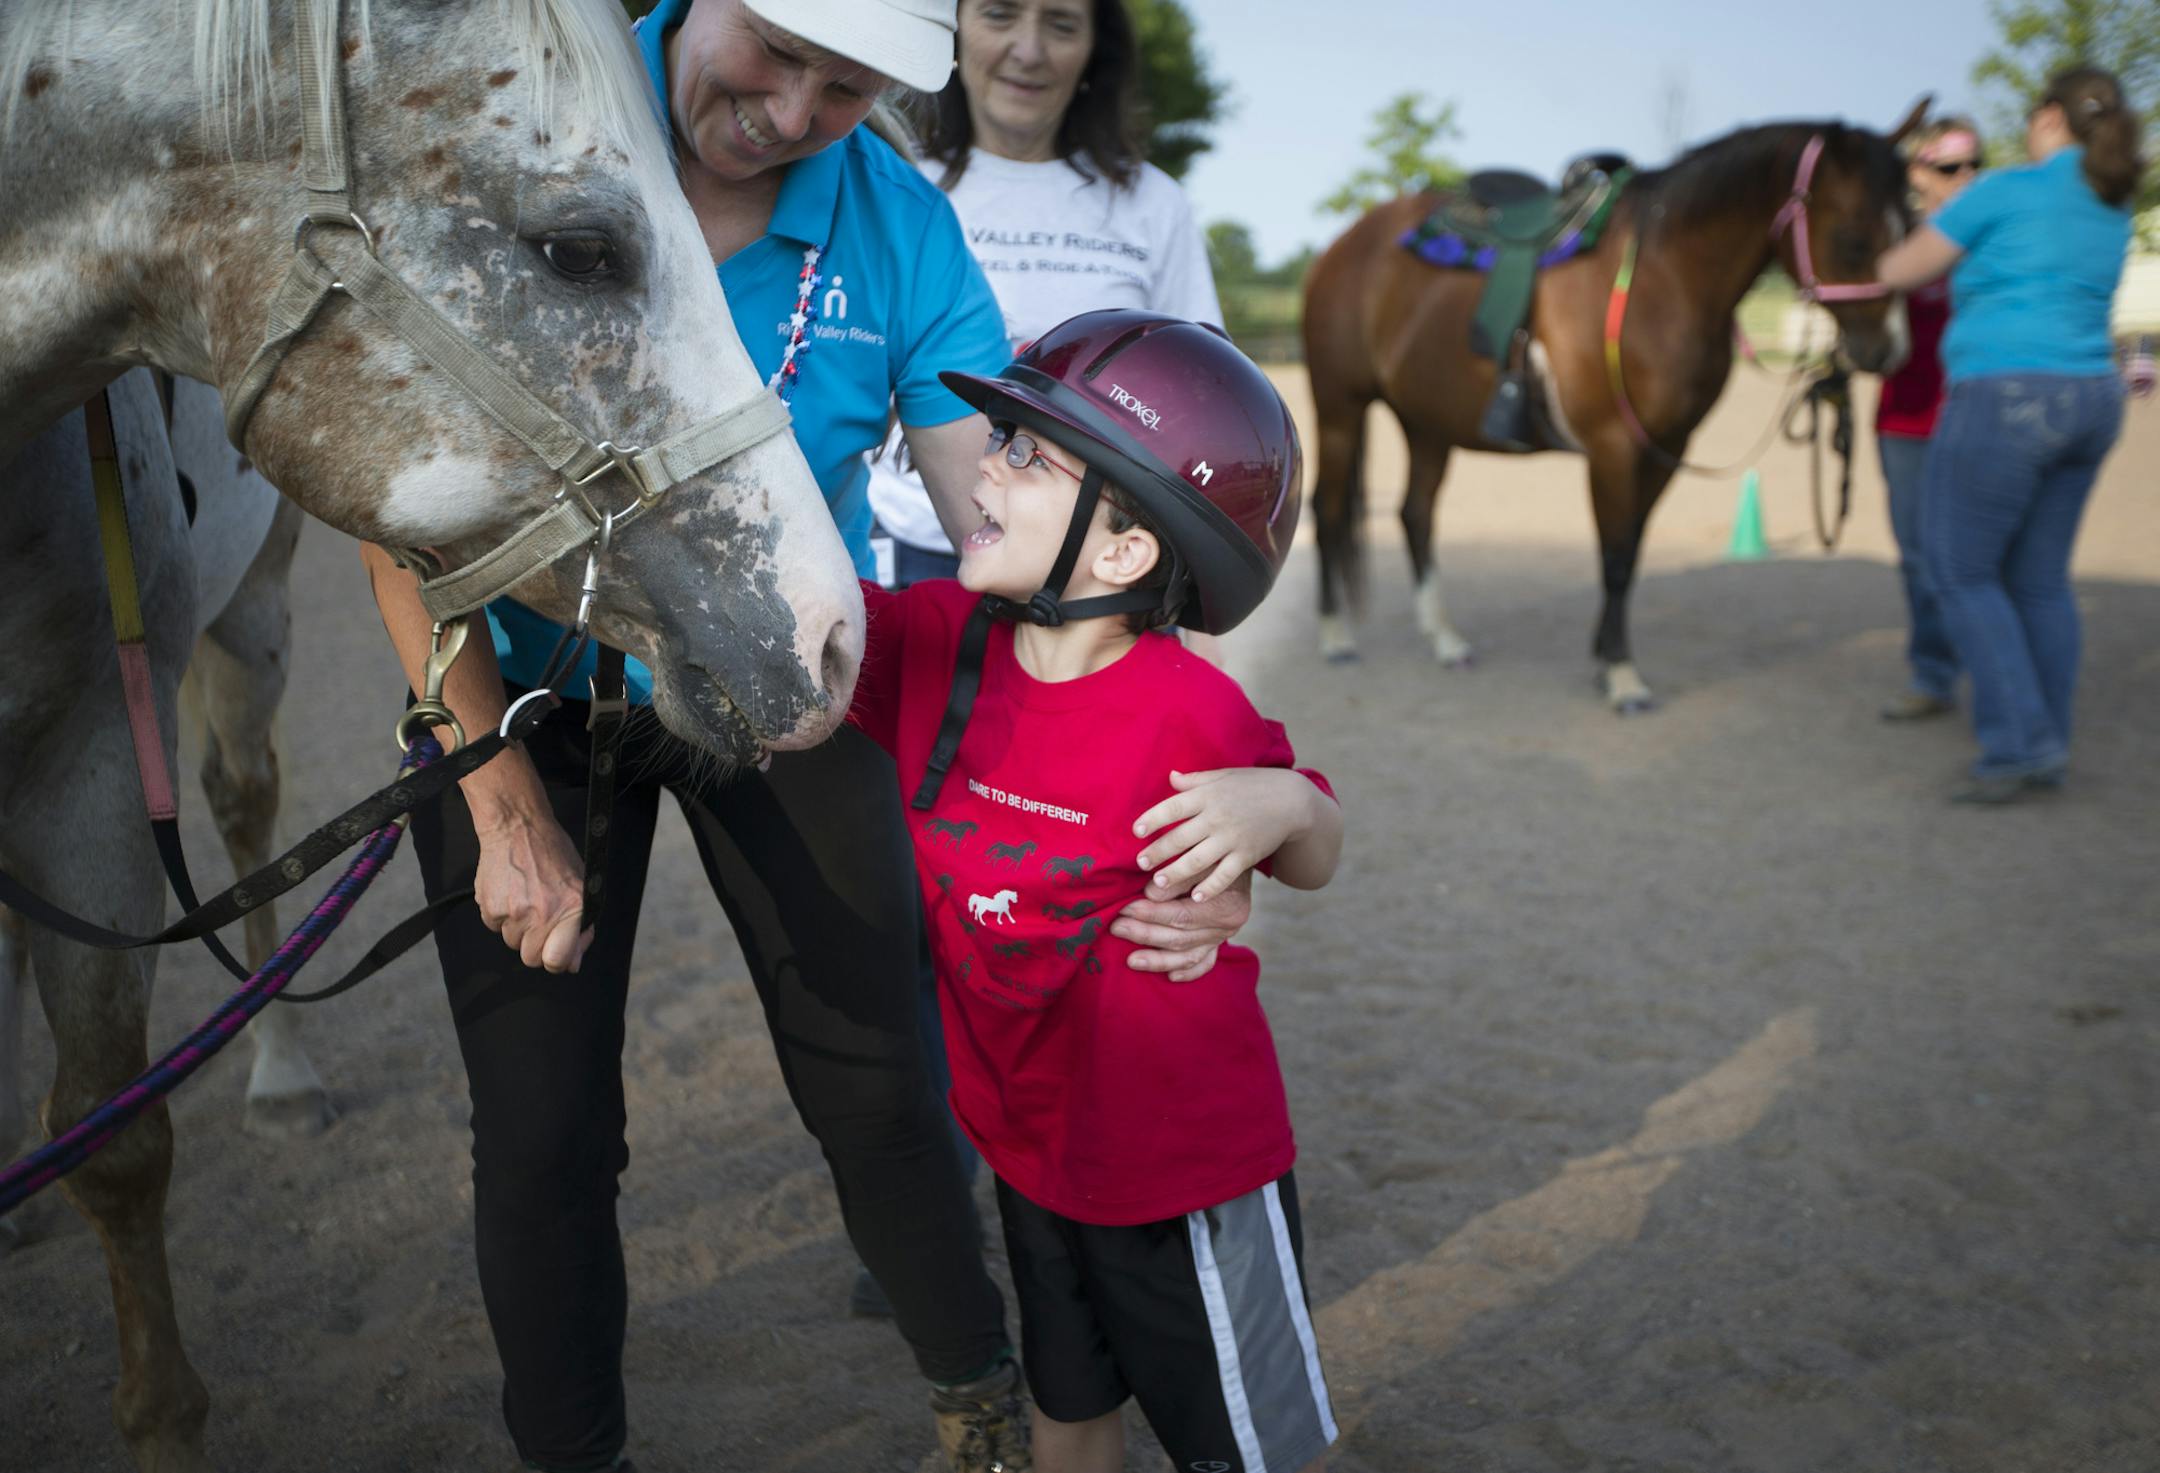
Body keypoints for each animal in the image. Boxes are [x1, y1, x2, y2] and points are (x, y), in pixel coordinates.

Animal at [0, 4, 861, 1468]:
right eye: (580, 249)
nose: (830, 635)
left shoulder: (92, 769)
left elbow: (116, 1142)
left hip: (255, 615)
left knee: (243, 799)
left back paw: (280, 1079)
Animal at [1303, 106, 1925, 711]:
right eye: (1852, 238)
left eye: (1913, 229)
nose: (1889, 351)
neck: (1661, 277)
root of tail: (1342, 245)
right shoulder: (1613, 448)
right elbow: (1616, 554)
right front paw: (1624, 677)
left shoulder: (1666, 447)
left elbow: (1631, 554)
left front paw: (1605, 661)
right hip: (1339, 408)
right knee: (1327, 510)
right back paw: (1335, 638)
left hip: (1426, 422)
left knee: (1416, 514)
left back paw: (1446, 640)